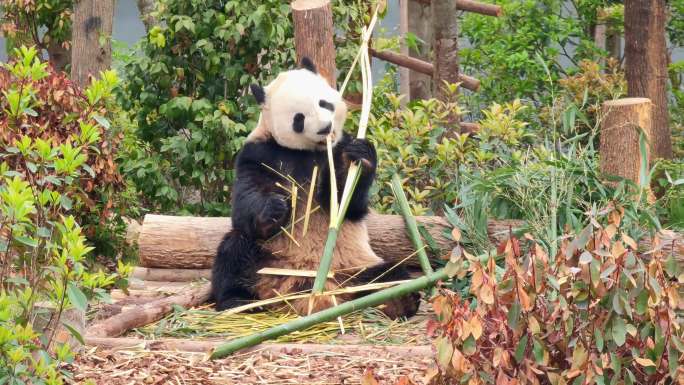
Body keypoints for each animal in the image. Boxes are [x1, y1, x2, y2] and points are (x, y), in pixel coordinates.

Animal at [211, 57, 420, 318]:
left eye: (324, 103)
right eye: (299, 118)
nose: (324, 128)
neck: (311, 150)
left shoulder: (339, 145)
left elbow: (349, 204)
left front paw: (360, 155)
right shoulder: (258, 152)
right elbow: (244, 206)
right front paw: (274, 207)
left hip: (355, 268)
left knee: (392, 275)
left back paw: (400, 299)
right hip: (267, 260)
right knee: (234, 252)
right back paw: (237, 302)